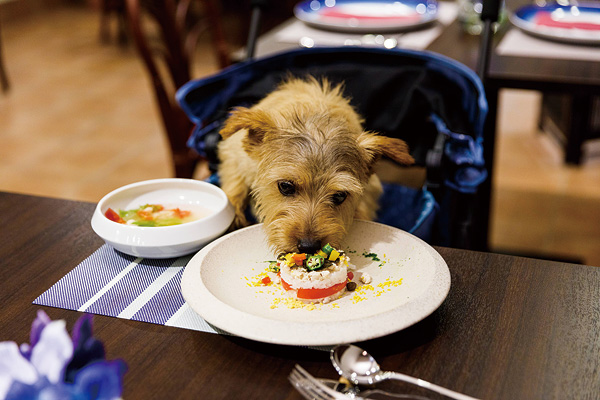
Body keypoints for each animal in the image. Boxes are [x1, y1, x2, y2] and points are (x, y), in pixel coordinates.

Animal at [218, 76, 414, 255]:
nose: (308, 246)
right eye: (285, 186)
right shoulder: (234, 155)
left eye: (340, 196)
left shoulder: (370, 190)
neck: (316, 118)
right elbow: (234, 189)